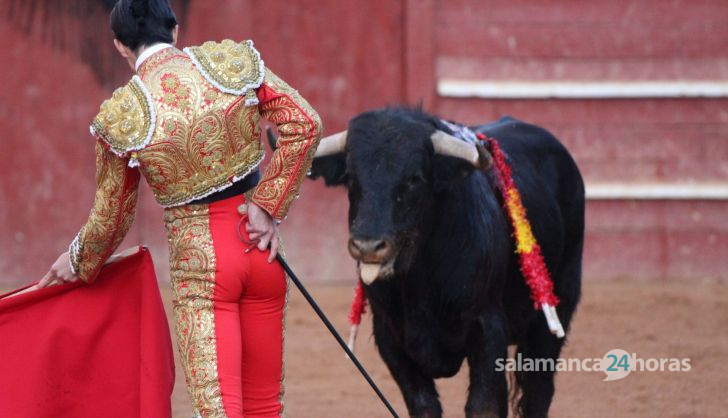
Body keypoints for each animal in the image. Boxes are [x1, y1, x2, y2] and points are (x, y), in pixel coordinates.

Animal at [298, 108, 584, 418]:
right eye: (351, 177)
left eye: (414, 178)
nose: (368, 246)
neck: (418, 280)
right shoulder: (389, 338)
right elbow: (424, 405)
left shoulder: (488, 328)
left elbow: (484, 405)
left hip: (558, 307)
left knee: (538, 391)